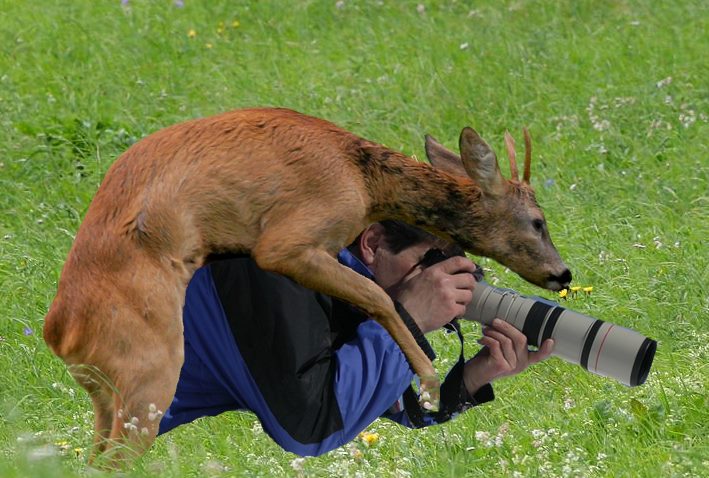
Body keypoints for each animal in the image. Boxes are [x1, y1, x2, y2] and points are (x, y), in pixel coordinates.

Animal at [42, 107, 568, 466]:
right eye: (537, 221)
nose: (563, 274)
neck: (366, 181)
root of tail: (59, 333)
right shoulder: (286, 241)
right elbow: (378, 295)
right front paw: (430, 379)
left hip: (107, 395)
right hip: (148, 371)